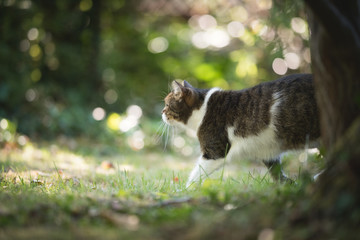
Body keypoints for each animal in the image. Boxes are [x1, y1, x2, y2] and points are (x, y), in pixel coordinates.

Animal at [162, 73, 320, 188]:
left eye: (167, 104)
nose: (162, 112)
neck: (202, 108)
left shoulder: (215, 152)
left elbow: (197, 173)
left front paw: (185, 191)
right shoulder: (268, 151)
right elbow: (277, 174)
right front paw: (290, 185)